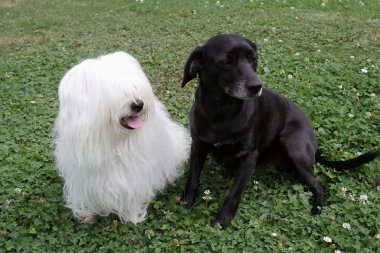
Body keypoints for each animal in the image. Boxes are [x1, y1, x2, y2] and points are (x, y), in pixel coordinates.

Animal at [53, 51, 190, 223]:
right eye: (114, 96)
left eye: (134, 88)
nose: (139, 104)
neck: (112, 141)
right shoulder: (82, 176)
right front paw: (86, 215)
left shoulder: (132, 175)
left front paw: (131, 216)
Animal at [182, 32, 380, 228]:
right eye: (226, 61)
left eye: (253, 59)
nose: (256, 86)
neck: (220, 112)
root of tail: (314, 145)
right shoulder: (198, 147)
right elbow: (192, 179)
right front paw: (185, 205)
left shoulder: (249, 157)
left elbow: (234, 194)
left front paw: (221, 221)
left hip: (292, 145)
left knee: (318, 186)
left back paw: (316, 209)